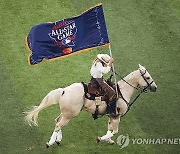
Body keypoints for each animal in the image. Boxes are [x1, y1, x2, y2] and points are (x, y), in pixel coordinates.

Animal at [24, 63, 157, 147]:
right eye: (147, 77)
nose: (155, 87)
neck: (122, 91)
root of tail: (64, 91)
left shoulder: (111, 116)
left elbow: (110, 129)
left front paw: (109, 141)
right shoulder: (117, 116)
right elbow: (115, 131)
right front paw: (100, 139)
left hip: (65, 113)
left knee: (57, 121)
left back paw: (58, 140)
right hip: (70, 115)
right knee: (58, 125)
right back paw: (50, 142)